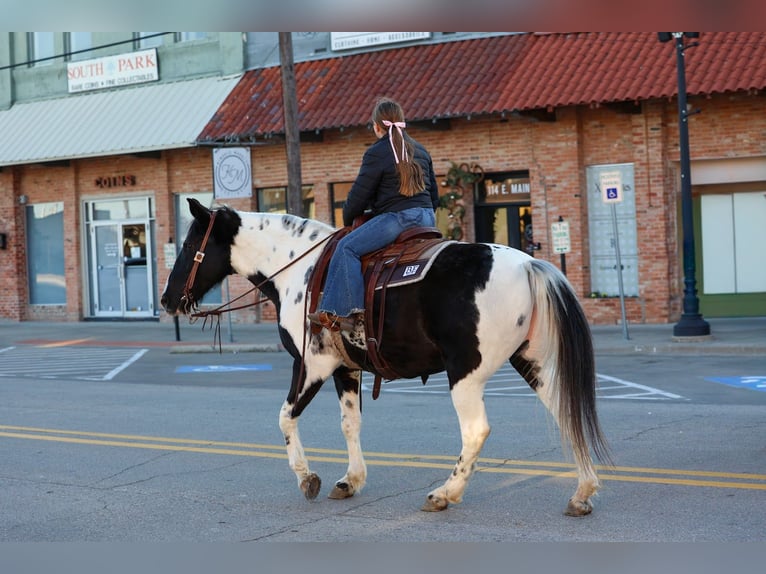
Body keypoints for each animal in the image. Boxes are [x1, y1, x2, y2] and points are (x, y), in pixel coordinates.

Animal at [161, 198, 611, 516]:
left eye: (190, 244)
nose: (167, 300)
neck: (298, 270)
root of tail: (530, 263)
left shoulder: (310, 365)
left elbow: (286, 418)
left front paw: (308, 478)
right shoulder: (345, 368)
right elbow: (350, 424)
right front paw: (350, 481)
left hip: (466, 374)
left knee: (475, 431)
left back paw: (444, 493)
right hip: (530, 362)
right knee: (564, 411)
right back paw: (582, 492)